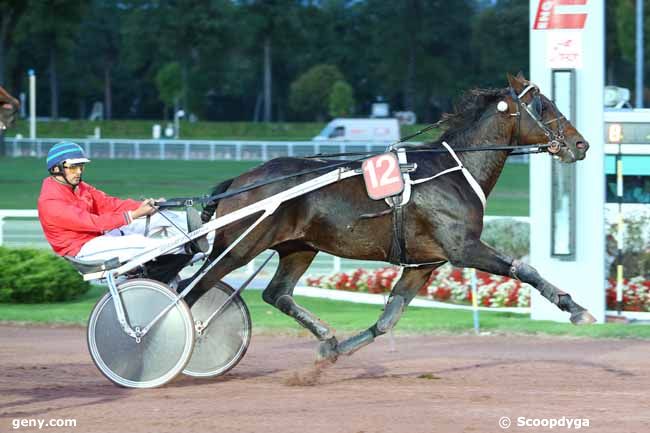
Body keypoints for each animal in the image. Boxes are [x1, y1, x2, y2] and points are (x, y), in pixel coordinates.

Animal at [194, 73, 592, 362]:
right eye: (544, 105)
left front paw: (336, 348)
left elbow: (388, 319)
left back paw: (324, 333)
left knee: (277, 293)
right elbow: (524, 269)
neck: (456, 170)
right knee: (196, 287)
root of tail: (240, 180)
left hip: (299, 247)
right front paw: (575, 309)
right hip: (239, 248)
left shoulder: (423, 263)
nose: (581, 144)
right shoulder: (463, 248)